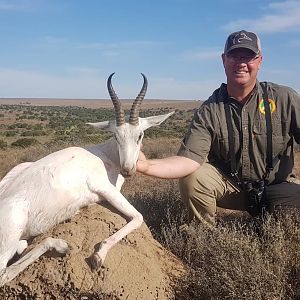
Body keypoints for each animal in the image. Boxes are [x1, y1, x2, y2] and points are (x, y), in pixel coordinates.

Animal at [0, 73, 173, 286]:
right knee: (4, 274)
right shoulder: (106, 189)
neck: (105, 155)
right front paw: (98, 255)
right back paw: (61, 245)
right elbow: (138, 217)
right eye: (116, 136)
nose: (127, 170)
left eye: (139, 135)